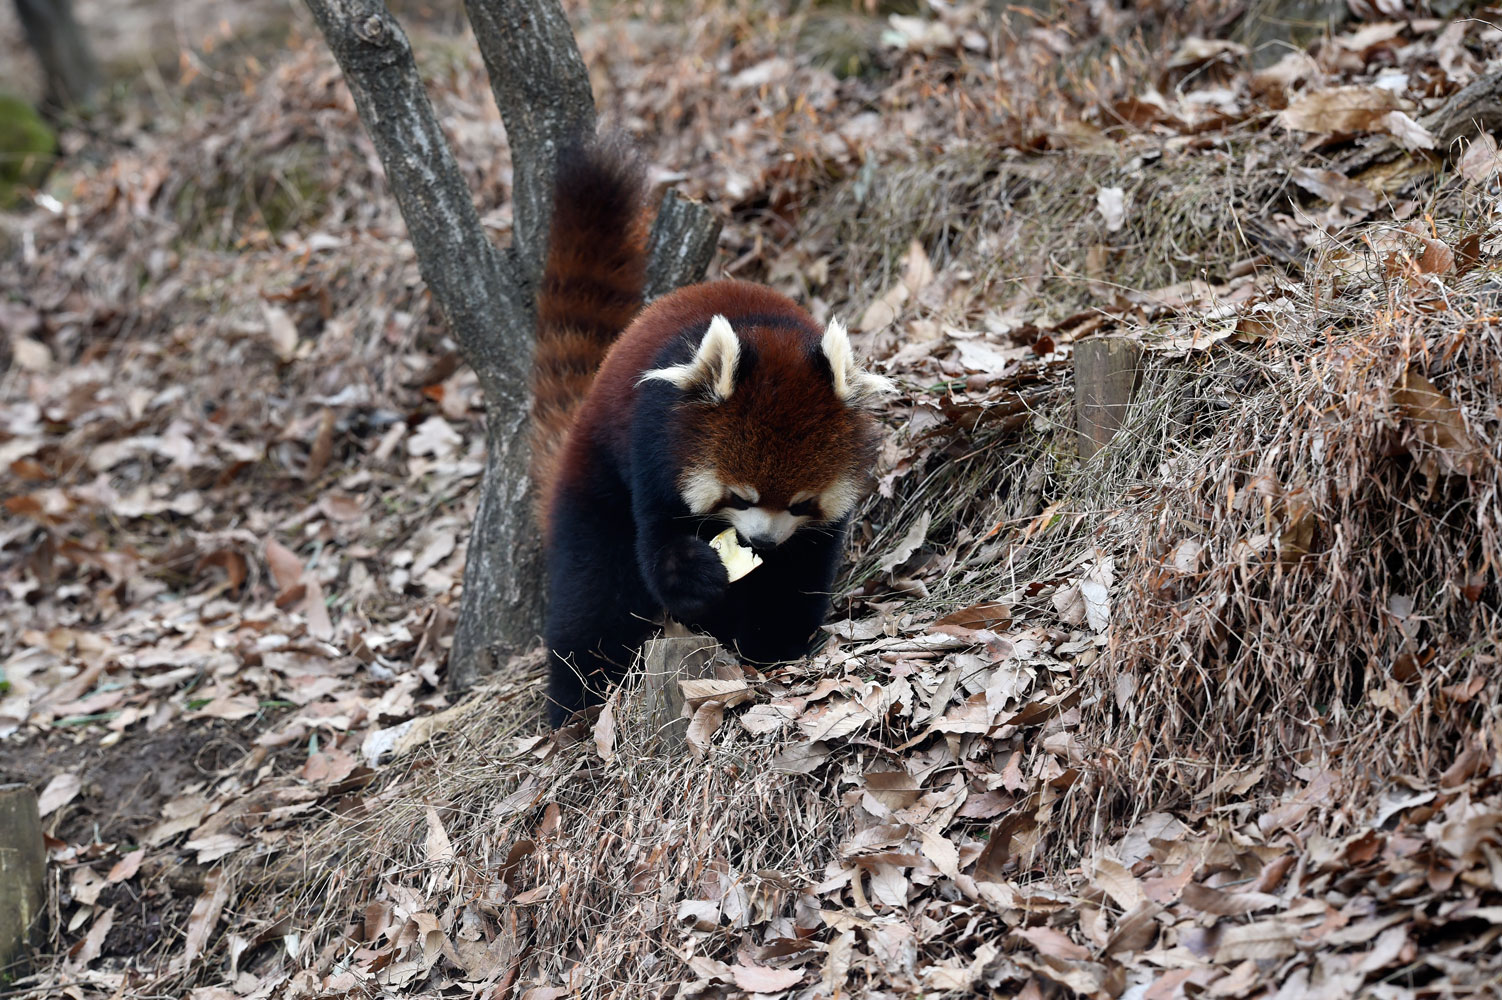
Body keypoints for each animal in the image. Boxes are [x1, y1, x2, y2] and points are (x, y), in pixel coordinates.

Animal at [534, 140, 889, 723]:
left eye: (800, 503)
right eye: (739, 497)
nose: (761, 540)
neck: (770, 333)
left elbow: (796, 573)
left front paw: (775, 642)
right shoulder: (653, 442)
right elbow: (655, 547)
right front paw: (696, 577)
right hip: (594, 474)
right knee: (591, 593)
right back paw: (577, 701)